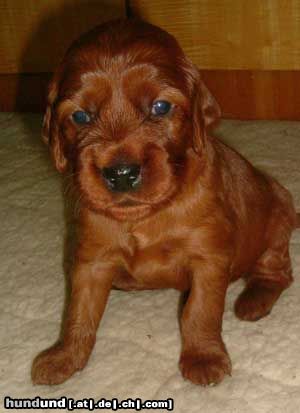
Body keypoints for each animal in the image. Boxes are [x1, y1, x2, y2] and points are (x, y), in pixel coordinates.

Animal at [31, 18, 300, 386]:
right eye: (81, 116)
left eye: (160, 107)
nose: (121, 173)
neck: (144, 215)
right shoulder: (91, 259)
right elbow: (78, 313)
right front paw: (64, 357)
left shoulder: (208, 258)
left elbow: (199, 311)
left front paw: (203, 357)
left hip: (276, 220)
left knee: (278, 272)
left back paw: (253, 300)